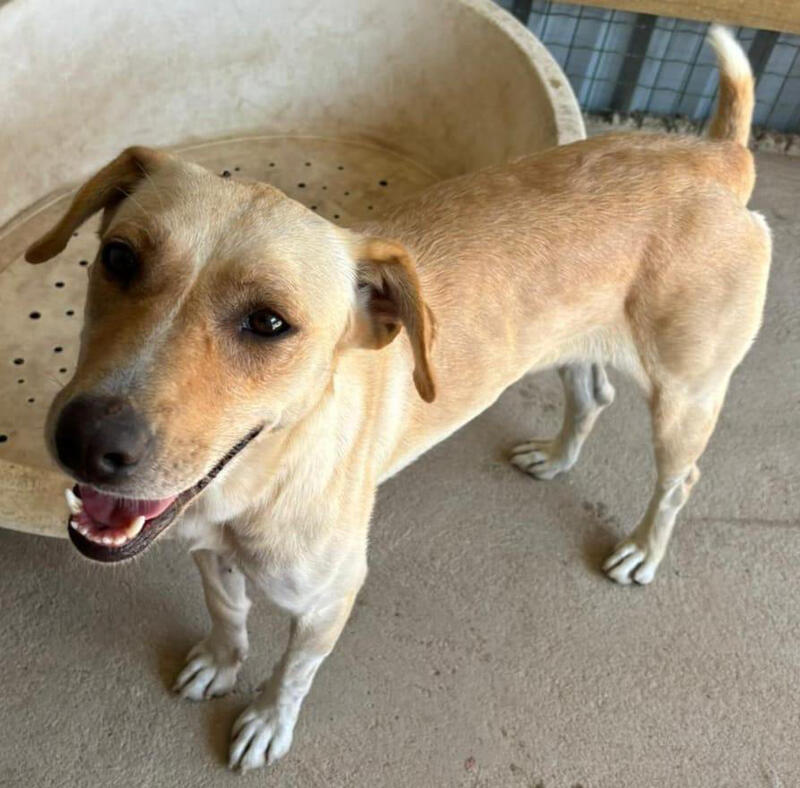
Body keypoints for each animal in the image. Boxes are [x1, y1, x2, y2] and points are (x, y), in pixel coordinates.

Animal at [24, 26, 769, 772]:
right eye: (119, 258)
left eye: (269, 322)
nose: (86, 441)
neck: (265, 479)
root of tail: (717, 155)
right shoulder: (208, 553)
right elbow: (228, 614)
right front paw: (221, 661)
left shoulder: (328, 599)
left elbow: (293, 673)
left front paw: (267, 721)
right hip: (572, 348)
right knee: (594, 394)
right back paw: (556, 458)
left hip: (685, 395)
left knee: (679, 479)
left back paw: (642, 549)